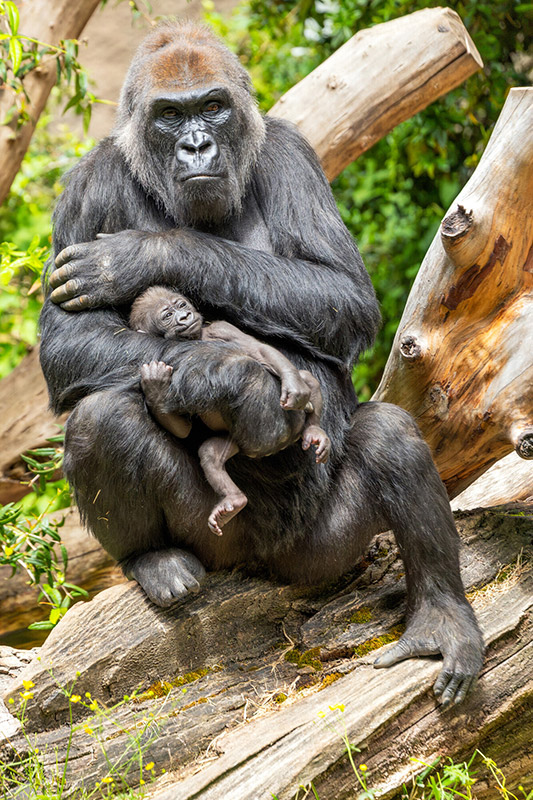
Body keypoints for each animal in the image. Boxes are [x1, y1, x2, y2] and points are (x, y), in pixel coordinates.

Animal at [130, 286, 331, 534]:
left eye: (181, 305)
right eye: (167, 316)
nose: (185, 317)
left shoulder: (221, 327)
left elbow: (259, 349)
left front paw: (294, 387)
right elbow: (183, 429)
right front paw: (155, 388)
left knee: (307, 378)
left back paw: (314, 429)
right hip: (238, 443)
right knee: (210, 454)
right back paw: (234, 500)